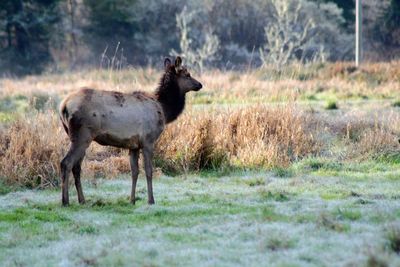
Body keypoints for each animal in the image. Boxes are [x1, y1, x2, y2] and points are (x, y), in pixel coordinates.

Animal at [58, 57, 203, 207]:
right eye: (187, 74)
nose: (200, 84)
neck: (164, 110)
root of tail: (63, 107)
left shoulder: (133, 145)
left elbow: (134, 172)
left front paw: (132, 200)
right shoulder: (148, 140)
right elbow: (148, 171)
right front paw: (151, 200)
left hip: (78, 136)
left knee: (76, 167)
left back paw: (82, 200)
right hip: (83, 135)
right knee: (66, 163)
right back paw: (65, 201)